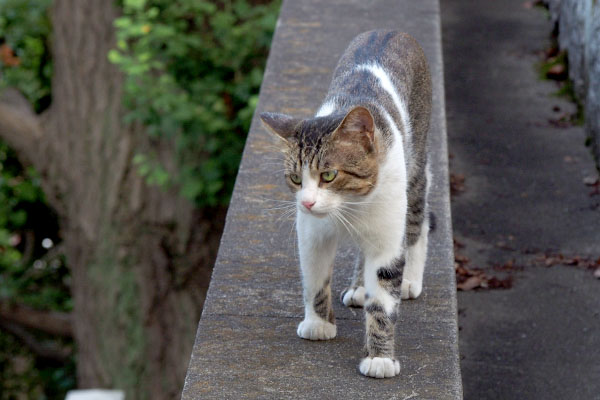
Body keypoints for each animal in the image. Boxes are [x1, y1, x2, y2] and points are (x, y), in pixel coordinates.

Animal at [258, 30, 432, 378]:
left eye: (328, 174)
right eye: (295, 179)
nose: (308, 202)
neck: (351, 205)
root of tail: (391, 30)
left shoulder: (387, 235)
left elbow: (383, 300)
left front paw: (380, 358)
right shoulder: (312, 234)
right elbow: (314, 278)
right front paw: (318, 323)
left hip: (415, 166)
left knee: (419, 219)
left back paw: (410, 279)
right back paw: (359, 287)